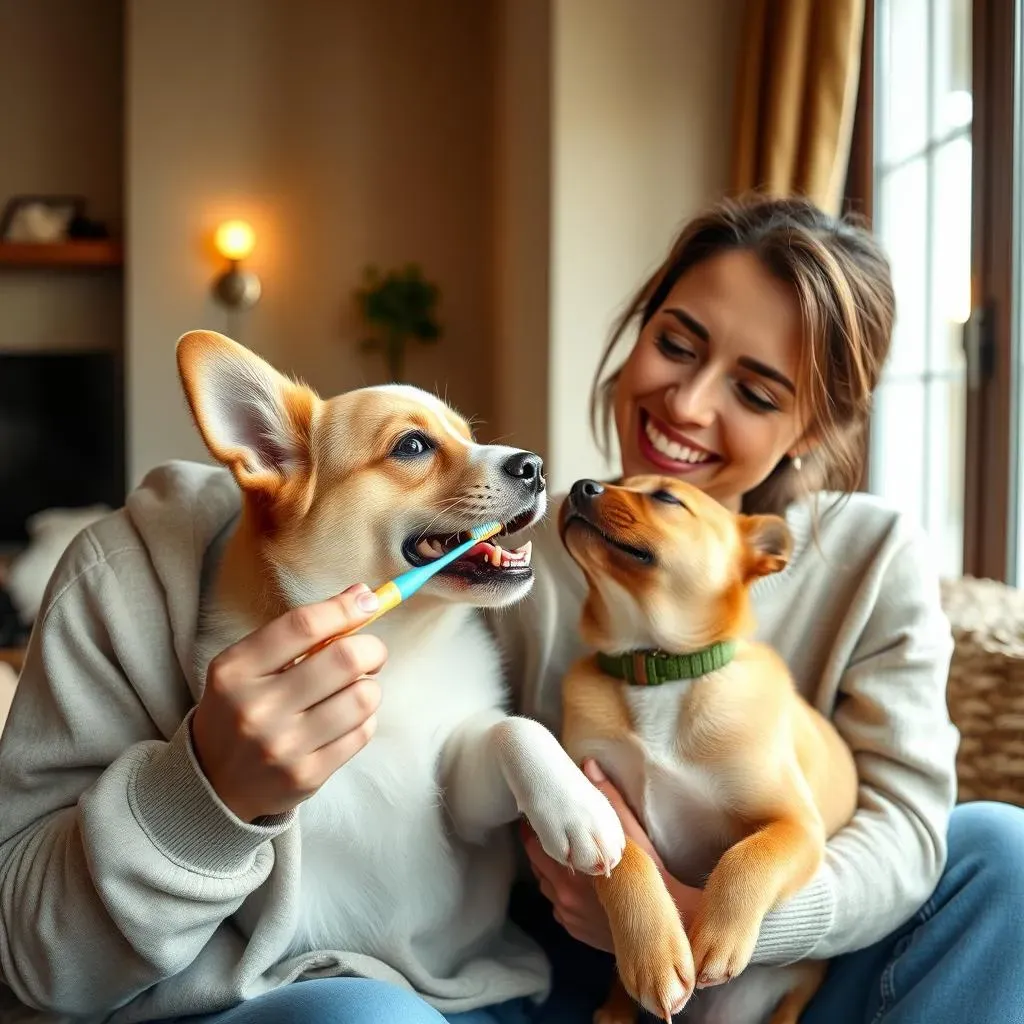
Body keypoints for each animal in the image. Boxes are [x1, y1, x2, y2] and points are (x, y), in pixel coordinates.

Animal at [176, 329, 622, 974]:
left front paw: (579, 808)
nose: (536, 466)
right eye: (412, 445)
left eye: (469, 434)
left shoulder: (464, 800)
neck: (400, 647)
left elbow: (516, 730)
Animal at [557, 475, 860, 1024]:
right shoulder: (594, 800)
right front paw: (653, 955)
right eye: (619, 480)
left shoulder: (796, 825)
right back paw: (614, 1009)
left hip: (802, 986)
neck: (658, 667)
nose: (579, 485)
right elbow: (628, 855)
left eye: (666, 498)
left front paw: (718, 936)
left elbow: (747, 858)